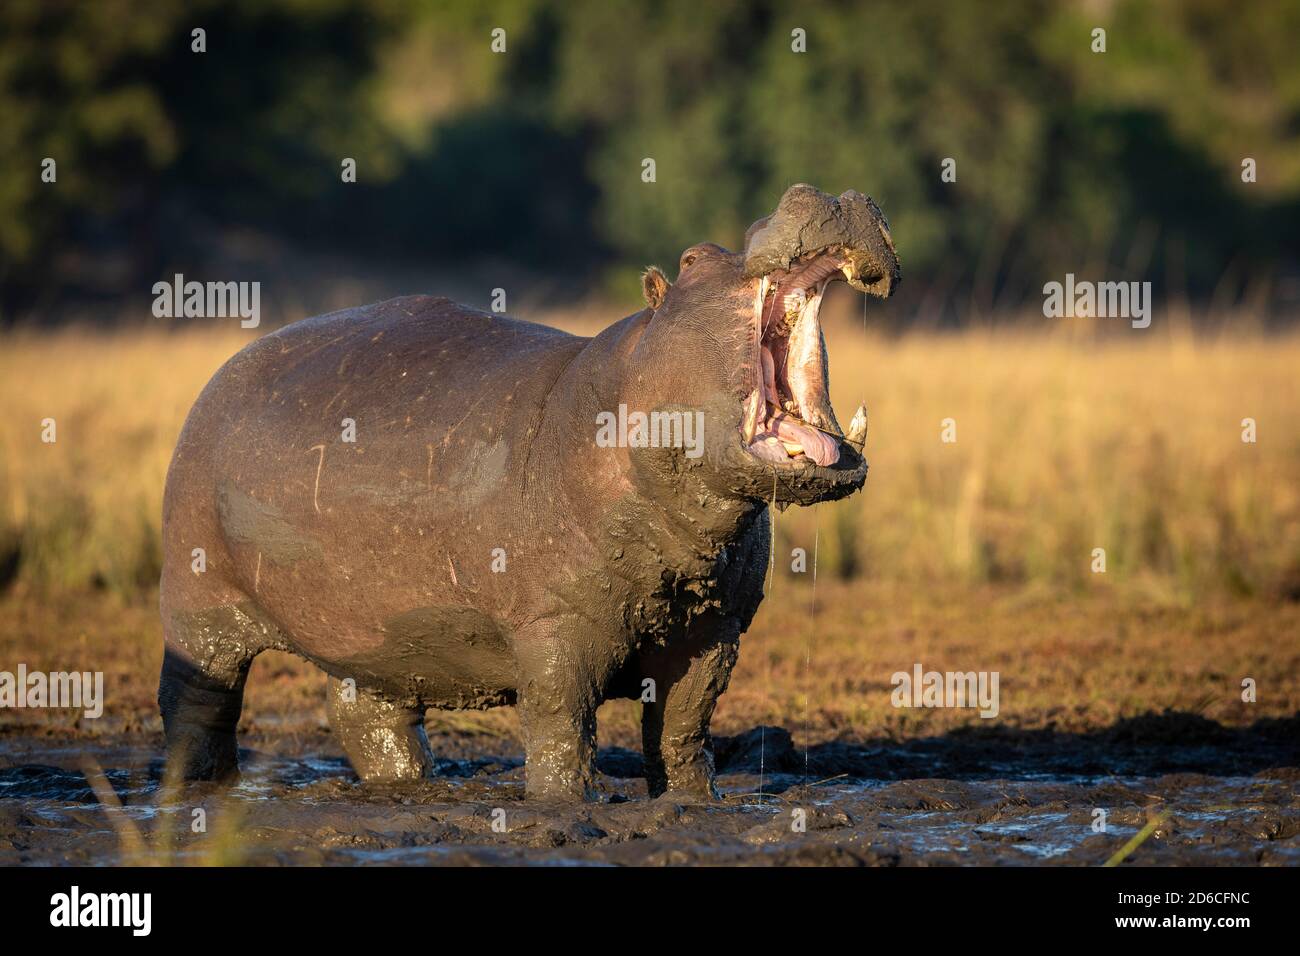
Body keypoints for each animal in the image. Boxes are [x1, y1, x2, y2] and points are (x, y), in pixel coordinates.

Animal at [157, 183, 899, 796]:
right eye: (692, 258)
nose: (820, 190)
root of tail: (223, 371)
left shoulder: (715, 630)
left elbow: (685, 729)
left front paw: (693, 802)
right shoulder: (553, 625)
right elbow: (561, 723)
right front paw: (565, 804)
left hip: (377, 639)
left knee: (366, 709)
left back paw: (407, 786)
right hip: (199, 599)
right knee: (197, 700)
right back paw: (196, 789)